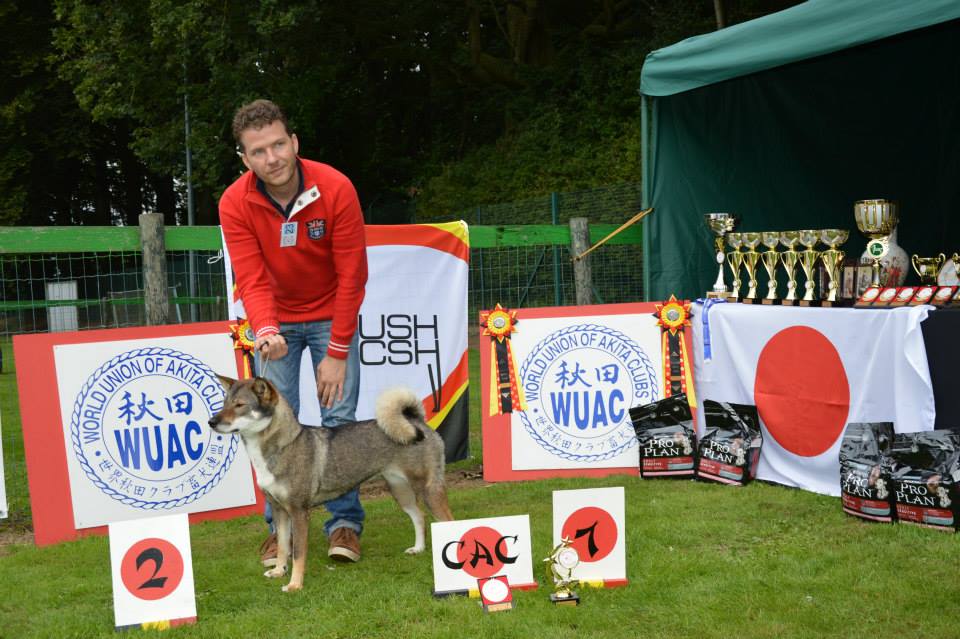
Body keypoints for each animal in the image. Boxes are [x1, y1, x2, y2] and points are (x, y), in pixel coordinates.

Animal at [207, 378, 454, 592]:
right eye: (225, 403)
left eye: (240, 405)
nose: (211, 422)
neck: (283, 446)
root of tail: (416, 422)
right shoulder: (279, 510)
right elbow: (283, 547)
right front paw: (278, 571)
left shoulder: (299, 512)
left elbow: (298, 553)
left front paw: (294, 585)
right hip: (400, 491)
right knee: (419, 516)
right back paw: (418, 548)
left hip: (429, 489)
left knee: (448, 521)